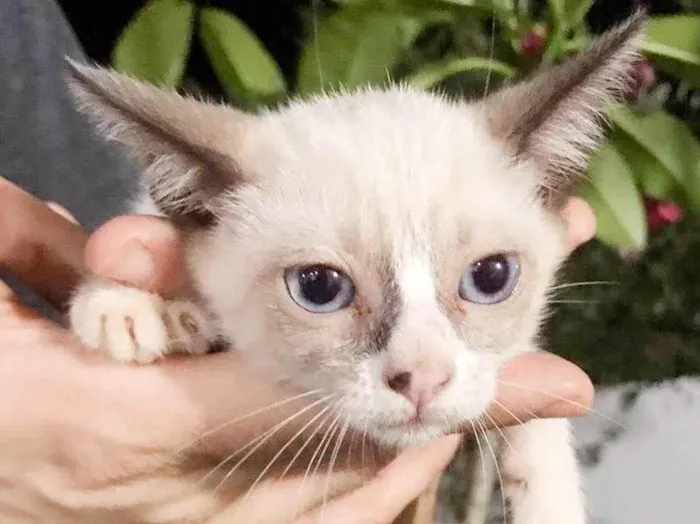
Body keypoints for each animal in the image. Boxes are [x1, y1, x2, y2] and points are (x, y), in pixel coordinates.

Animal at [64, 11, 644, 524]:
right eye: (319, 288)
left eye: (491, 277)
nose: (422, 379)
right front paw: (126, 307)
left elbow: (540, 426)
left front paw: (551, 504)